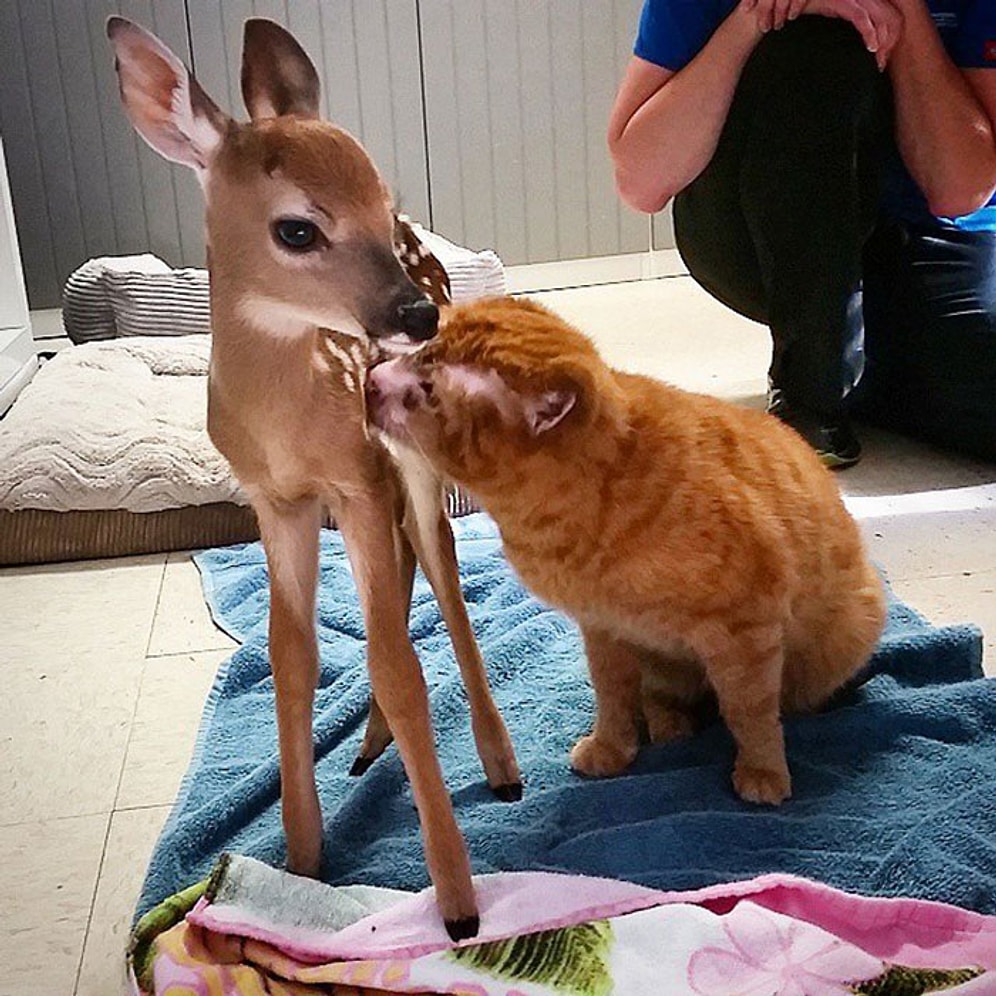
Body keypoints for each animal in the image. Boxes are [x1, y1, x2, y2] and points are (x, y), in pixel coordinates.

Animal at [366, 298, 888, 808]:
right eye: (416, 352)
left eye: (427, 388)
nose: (371, 380)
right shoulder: (605, 629)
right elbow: (613, 697)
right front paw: (613, 749)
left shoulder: (745, 633)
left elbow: (750, 712)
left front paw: (763, 773)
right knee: (660, 695)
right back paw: (669, 724)